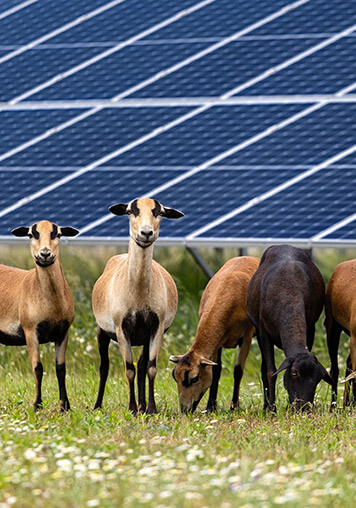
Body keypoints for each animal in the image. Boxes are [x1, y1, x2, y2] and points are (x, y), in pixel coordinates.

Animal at [0, 220, 78, 410]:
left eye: (57, 234)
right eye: (30, 234)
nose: (45, 254)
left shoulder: (63, 332)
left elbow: (61, 369)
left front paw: (65, 406)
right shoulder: (30, 330)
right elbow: (38, 367)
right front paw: (37, 405)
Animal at [92, 196, 184, 414]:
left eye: (159, 212)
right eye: (130, 211)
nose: (146, 233)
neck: (138, 295)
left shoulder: (156, 327)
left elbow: (150, 367)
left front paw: (150, 408)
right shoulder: (121, 328)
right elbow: (129, 369)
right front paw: (132, 408)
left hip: (143, 336)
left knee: (142, 365)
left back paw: (143, 406)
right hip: (101, 330)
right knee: (104, 366)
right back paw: (98, 405)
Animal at [170, 256, 258, 414]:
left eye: (194, 378)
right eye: (174, 376)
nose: (184, 409)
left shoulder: (247, 337)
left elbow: (238, 371)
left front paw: (234, 406)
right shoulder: (218, 343)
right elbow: (216, 371)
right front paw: (211, 407)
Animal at [246, 244, 332, 410]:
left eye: (318, 379)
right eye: (294, 373)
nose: (303, 408)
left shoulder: (310, 329)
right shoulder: (264, 332)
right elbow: (270, 372)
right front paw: (272, 409)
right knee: (263, 369)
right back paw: (266, 406)